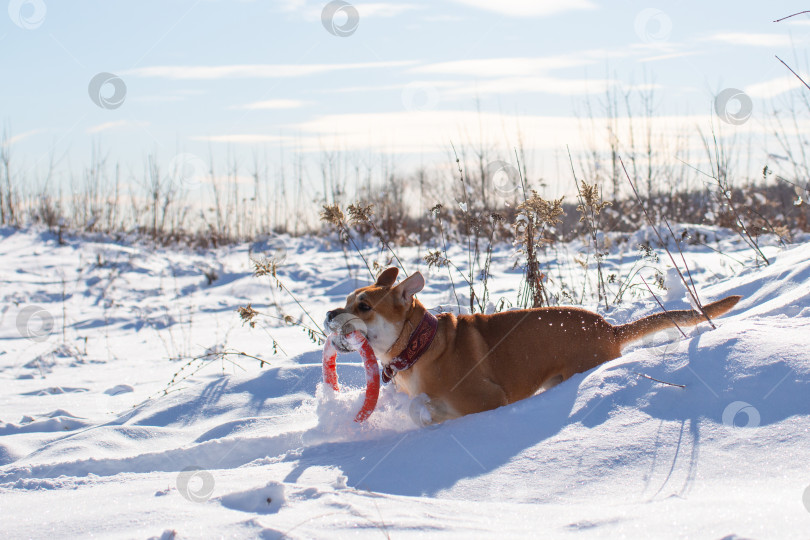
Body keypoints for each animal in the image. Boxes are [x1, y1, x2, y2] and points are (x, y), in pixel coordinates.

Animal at [326, 268, 740, 424]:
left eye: (363, 306)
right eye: (345, 301)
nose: (329, 313)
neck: (419, 345)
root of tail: (610, 329)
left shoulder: (487, 401)